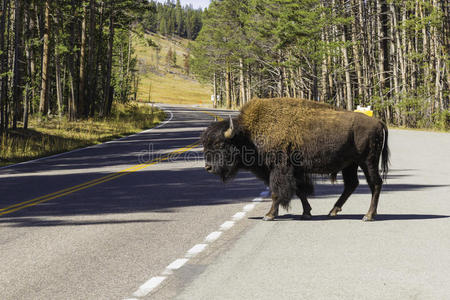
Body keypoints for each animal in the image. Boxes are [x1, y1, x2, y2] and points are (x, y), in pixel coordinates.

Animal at [202, 98, 388, 220]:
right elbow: (299, 191)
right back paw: (333, 211)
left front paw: (269, 215)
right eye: (205, 143)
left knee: (375, 183)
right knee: (351, 184)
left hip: (368, 162)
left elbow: (276, 192)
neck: (248, 135)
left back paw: (368, 215)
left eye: (220, 144)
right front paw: (306, 213)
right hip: (350, 165)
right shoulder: (293, 171)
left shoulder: (279, 169)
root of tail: (378, 122)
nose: (208, 167)